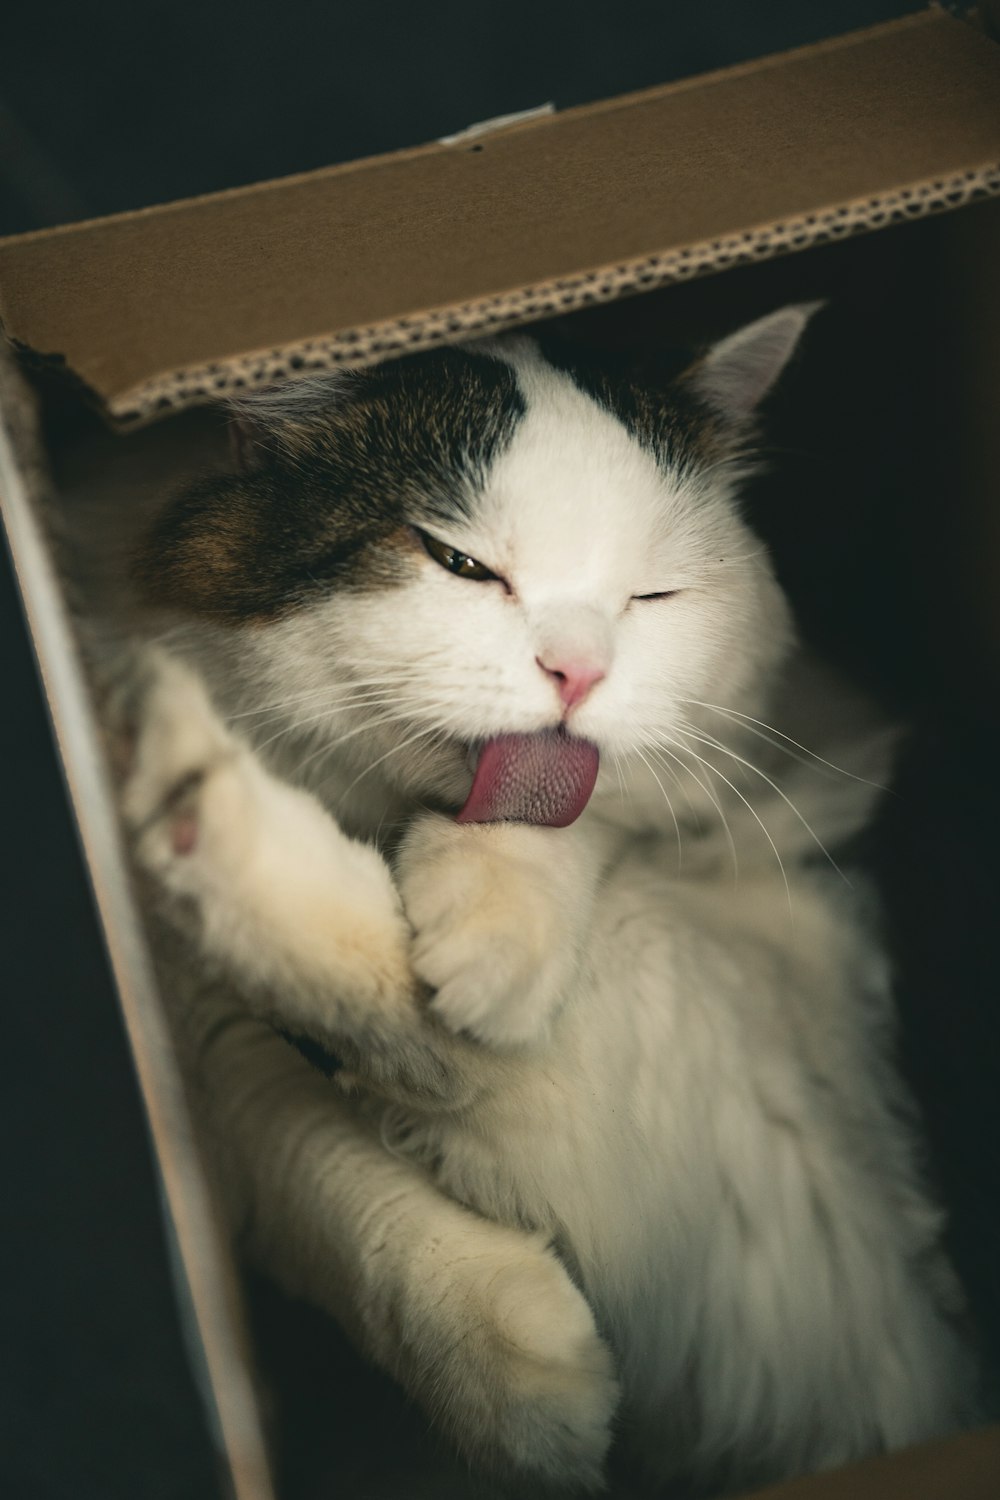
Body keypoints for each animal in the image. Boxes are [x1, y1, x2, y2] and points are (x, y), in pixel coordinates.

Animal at [83, 310, 977, 1494]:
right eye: (461, 564)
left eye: (652, 594)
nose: (578, 675)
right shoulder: (193, 1034)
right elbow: (300, 1152)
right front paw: (506, 1368)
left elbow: (522, 910)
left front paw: (498, 925)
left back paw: (186, 773)